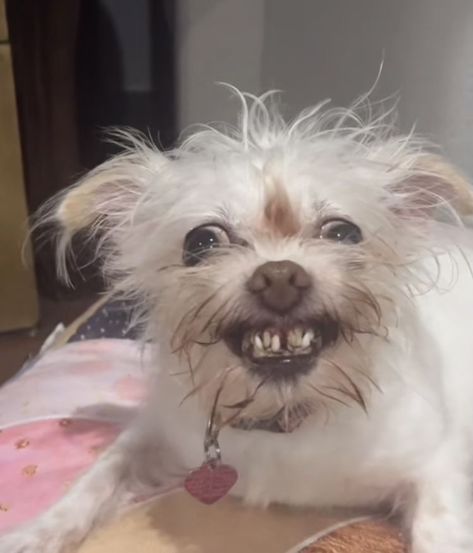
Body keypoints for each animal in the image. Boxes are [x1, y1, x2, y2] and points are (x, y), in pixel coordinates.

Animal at [4, 91, 473, 552]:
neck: (280, 416)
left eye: (344, 233)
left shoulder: (437, 467)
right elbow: (99, 474)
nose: (280, 277)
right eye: (202, 241)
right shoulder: (156, 432)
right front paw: (36, 533)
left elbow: (438, 527)